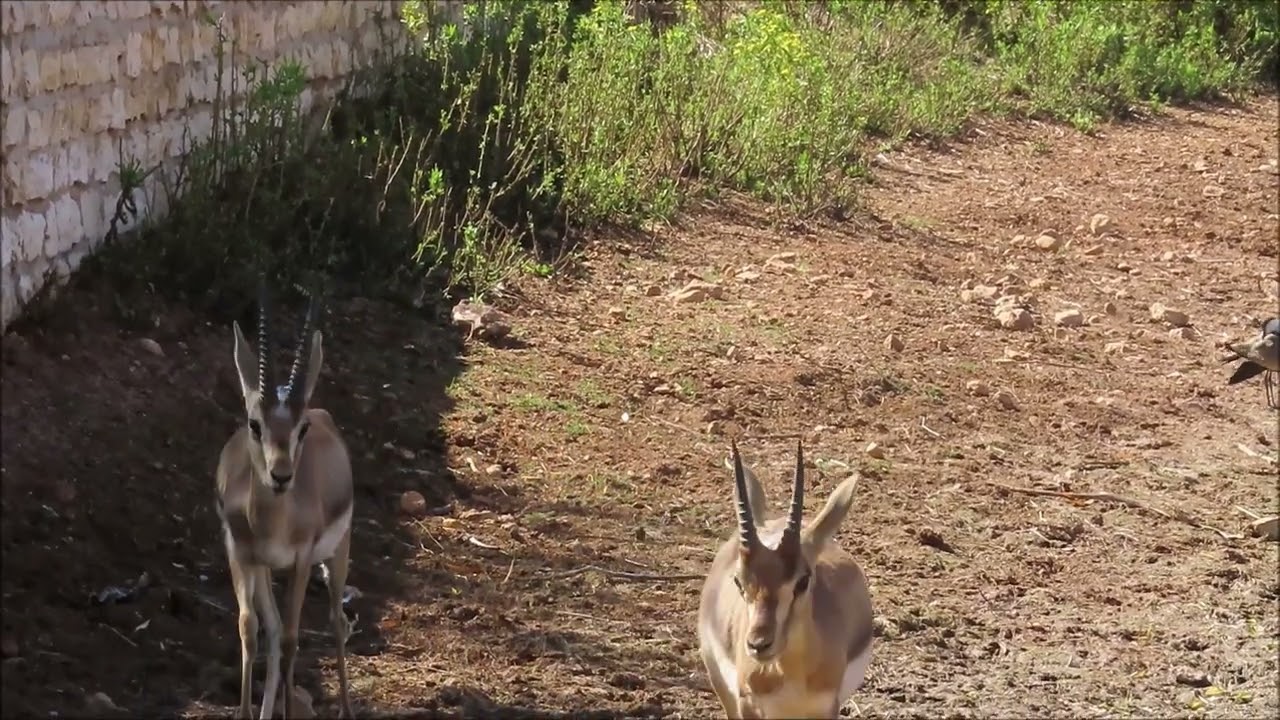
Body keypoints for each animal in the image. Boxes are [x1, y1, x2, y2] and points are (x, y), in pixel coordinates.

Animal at [215, 288, 355, 719]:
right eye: (254, 423)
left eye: (301, 428)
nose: (281, 475)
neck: (272, 522)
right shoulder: (241, 554)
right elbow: (249, 629)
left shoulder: (301, 560)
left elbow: (294, 639)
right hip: (263, 569)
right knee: (273, 629)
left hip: (337, 554)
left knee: (336, 620)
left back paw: (347, 709)